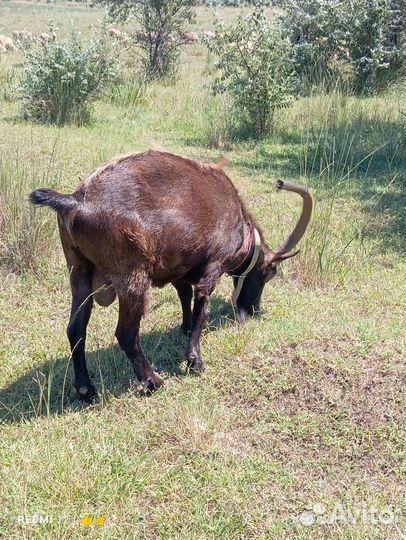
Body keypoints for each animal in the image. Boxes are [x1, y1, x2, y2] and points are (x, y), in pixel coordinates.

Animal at [30, 151, 312, 400]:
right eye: (268, 273)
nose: (253, 309)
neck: (240, 225)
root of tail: (76, 201)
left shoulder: (181, 268)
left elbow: (184, 295)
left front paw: (185, 327)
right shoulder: (213, 265)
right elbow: (201, 307)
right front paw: (194, 361)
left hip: (79, 271)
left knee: (75, 329)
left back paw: (86, 390)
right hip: (133, 277)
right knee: (126, 334)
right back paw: (153, 381)